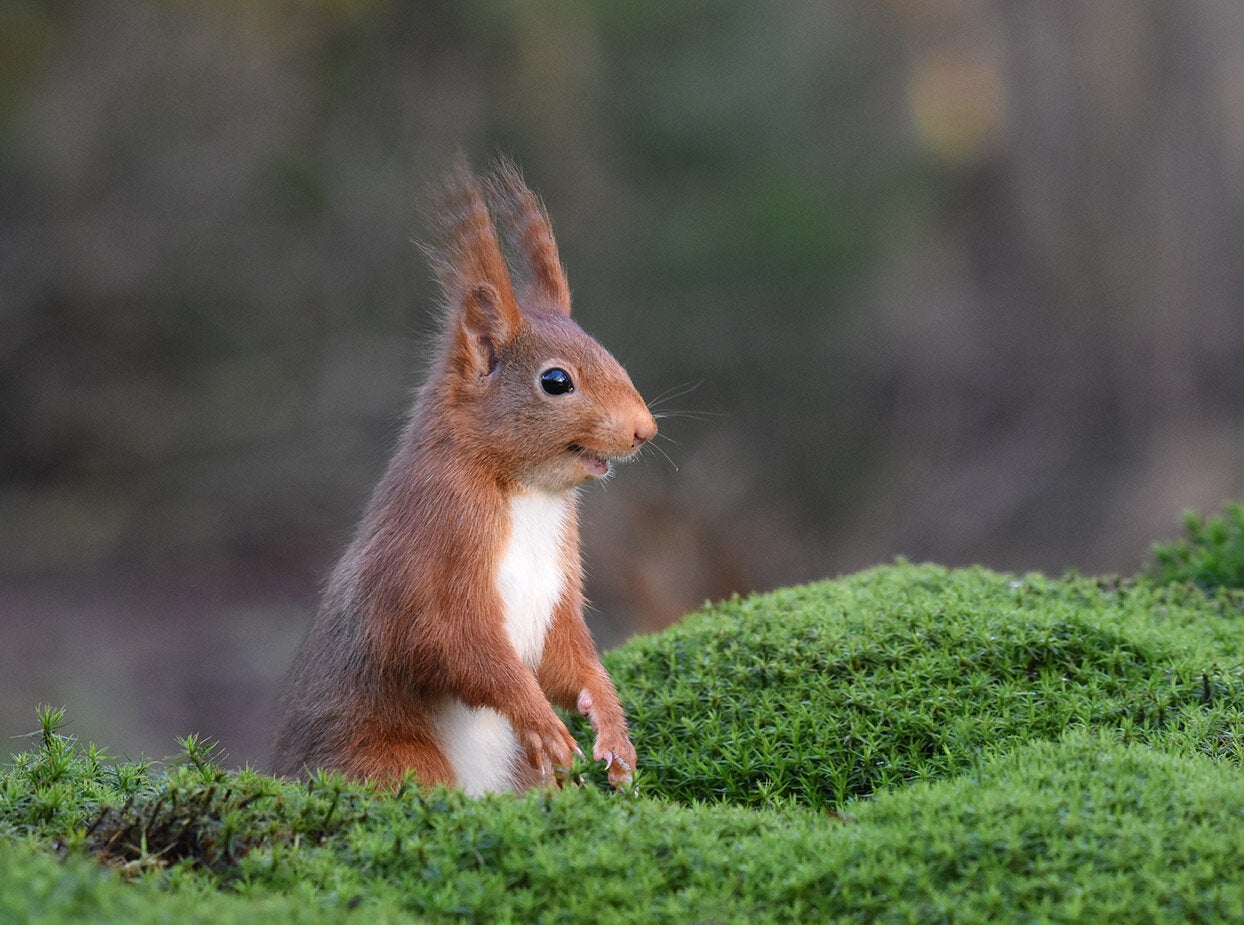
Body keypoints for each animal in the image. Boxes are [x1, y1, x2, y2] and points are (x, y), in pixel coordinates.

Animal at [271, 159, 656, 795]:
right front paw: (541, 720)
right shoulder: (432, 545)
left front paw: (612, 728)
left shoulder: (558, 586)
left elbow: (569, 656)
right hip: (391, 759)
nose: (644, 430)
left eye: (608, 351)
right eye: (556, 381)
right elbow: (449, 641)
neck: (528, 493)